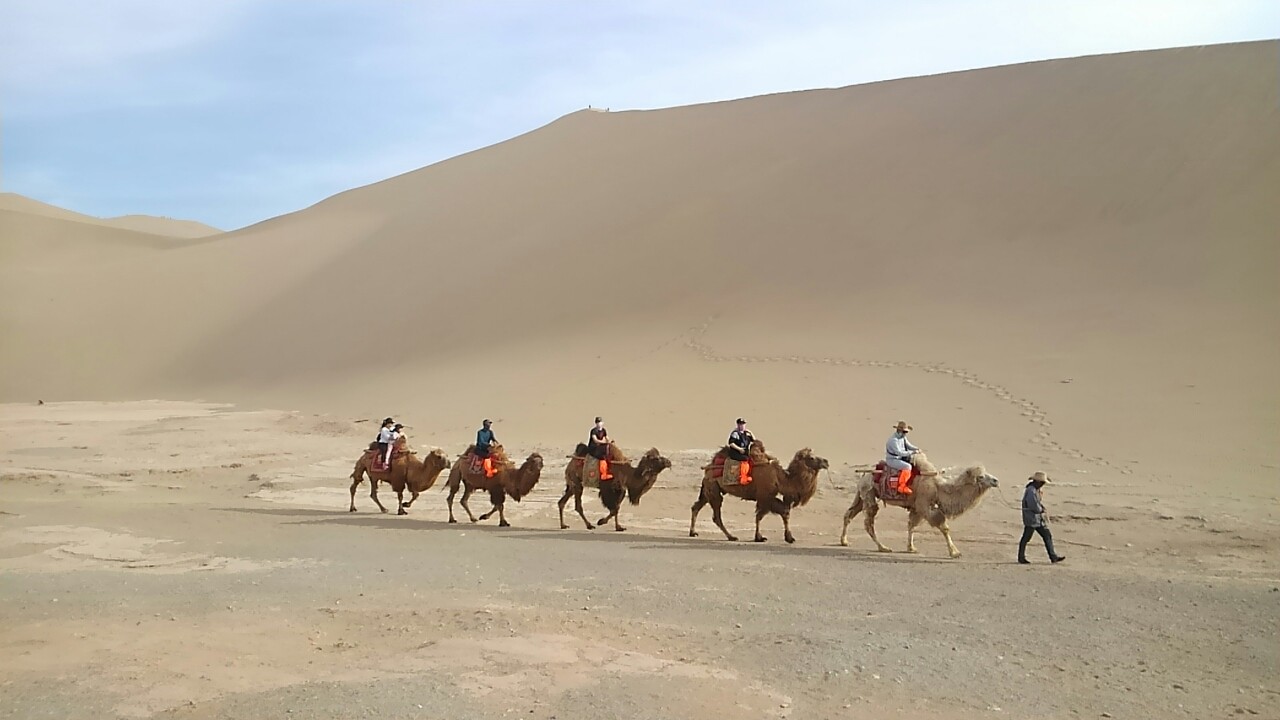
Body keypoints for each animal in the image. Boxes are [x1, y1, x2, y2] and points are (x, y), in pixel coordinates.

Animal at [691, 440, 829, 540]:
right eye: (811, 458)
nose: (826, 462)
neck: (780, 478)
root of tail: (707, 470)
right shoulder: (764, 496)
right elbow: (762, 516)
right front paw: (760, 537)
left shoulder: (768, 497)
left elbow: (783, 513)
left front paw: (789, 537)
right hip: (713, 488)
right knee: (716, 515)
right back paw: (731, 537)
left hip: (708, 489)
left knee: (696, 506)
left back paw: (693, 532)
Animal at [839, 450, 998, 558]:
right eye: (981, 477)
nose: (996, 480)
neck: (938, 488)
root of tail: (864, 473)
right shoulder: (924, 504)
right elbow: (944, 527)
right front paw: (955, 552)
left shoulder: (917, 507)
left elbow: (912, 525)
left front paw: (911, 548)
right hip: (869, 492)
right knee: (868, 522)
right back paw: (883, 547)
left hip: (862, 494)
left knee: (849, 513)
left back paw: (844, 541)